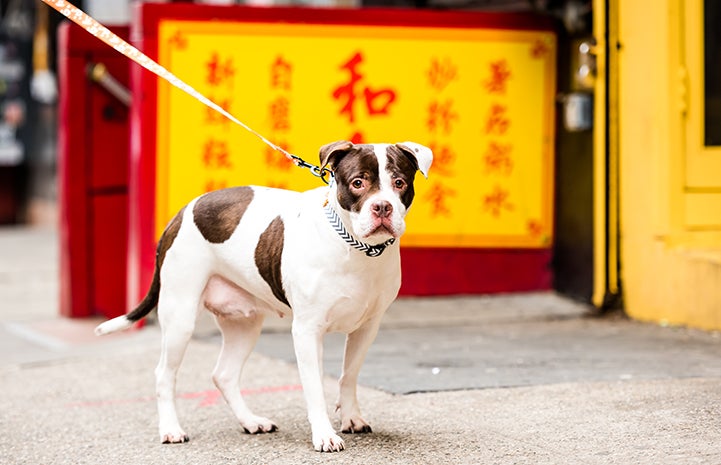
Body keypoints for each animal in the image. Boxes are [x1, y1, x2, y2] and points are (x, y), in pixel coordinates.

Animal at [95, 140, 434, 452]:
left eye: (399, 183)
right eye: (358, 183)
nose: (382, 207)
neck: (358, 248)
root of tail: (182, 211)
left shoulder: (367, 327)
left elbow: (348, 376)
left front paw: (351, 417)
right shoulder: (307, 331)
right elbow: (315, 388)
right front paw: (324, 435)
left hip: (244, 325)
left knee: (224, 375)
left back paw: (250, 421)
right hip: (180, 317)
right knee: (164, 375)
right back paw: (171, 429)